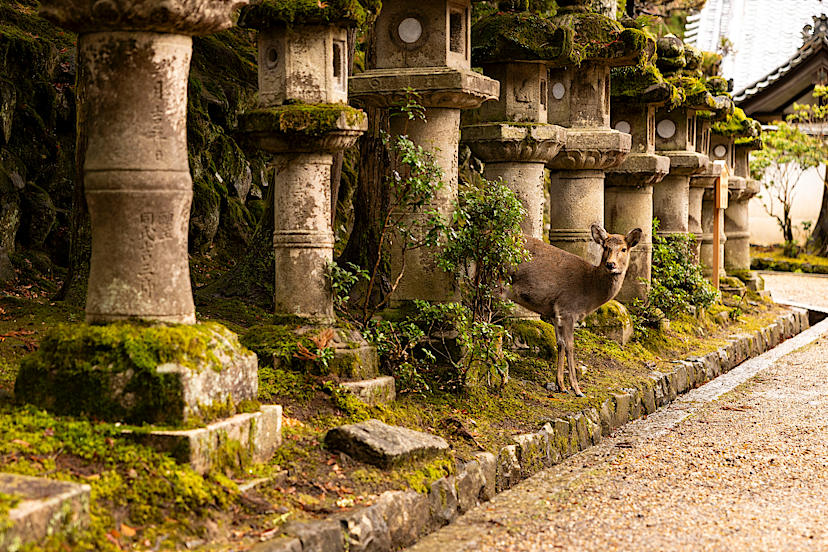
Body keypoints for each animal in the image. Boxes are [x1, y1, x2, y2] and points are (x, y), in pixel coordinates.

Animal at [507, 223, 642, 397]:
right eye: (605, 247)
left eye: (624, 249)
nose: (610, 264)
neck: (589, 289)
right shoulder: (568, 309)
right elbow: (570, 345)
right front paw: (577, 389)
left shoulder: (555, 313)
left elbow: (560, 343)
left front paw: (561, 385)